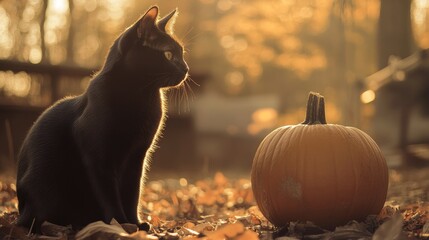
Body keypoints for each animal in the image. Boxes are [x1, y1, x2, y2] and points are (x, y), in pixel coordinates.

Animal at [16, 5, 187, 231]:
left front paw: (135, 223)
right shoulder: (98, 157)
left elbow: (133, 193)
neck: (139, 95)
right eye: (168, 54)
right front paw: (122, 224)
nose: (186, 68)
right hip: (44, 183)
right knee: (36, 219)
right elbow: (110, 196)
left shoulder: (137, 157)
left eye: (182, 54)